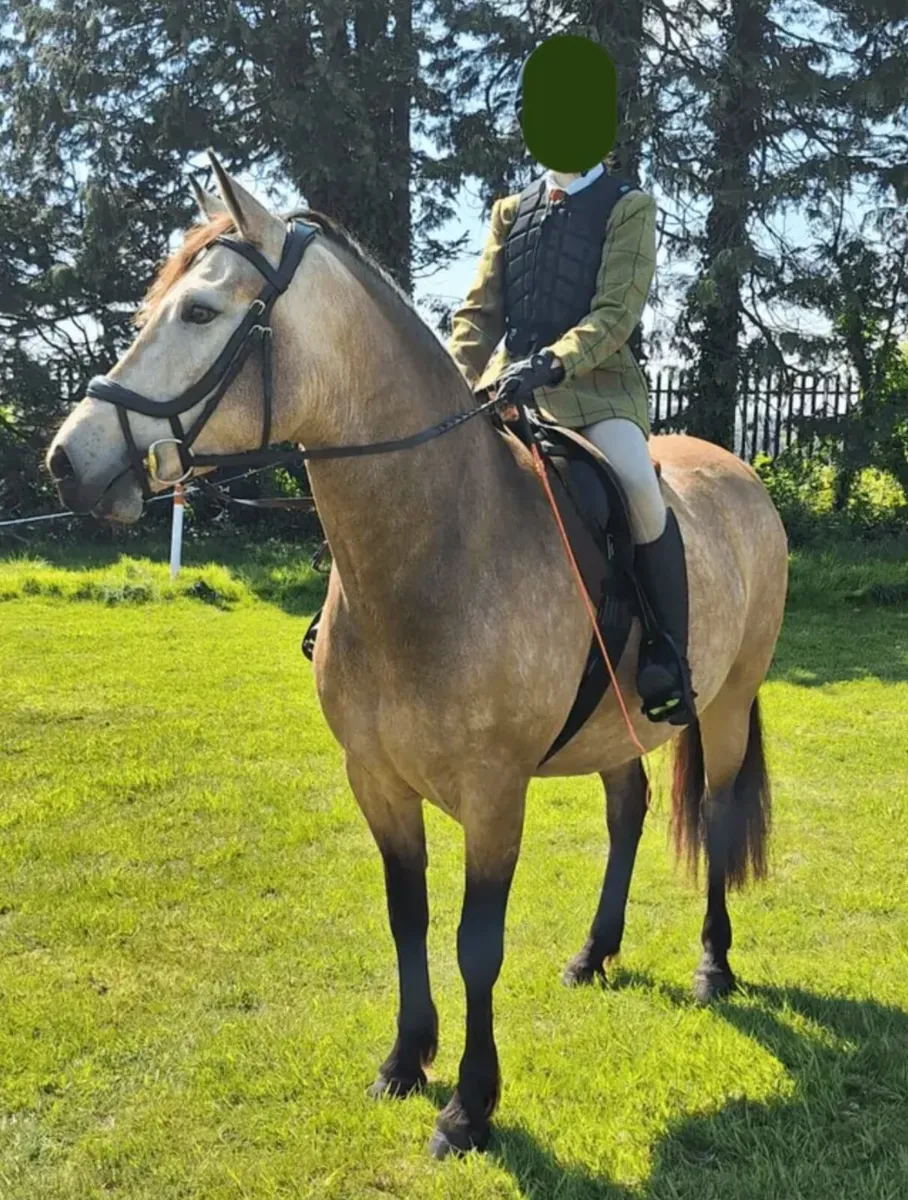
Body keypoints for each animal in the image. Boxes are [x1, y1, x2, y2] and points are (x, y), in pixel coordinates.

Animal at [46, 150, 788, 1159]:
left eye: (199, 312)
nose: (66, 461)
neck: (440, 546)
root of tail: (740, 471)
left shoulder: (494, 794)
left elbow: (478, 943)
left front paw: (470, 1106)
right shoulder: (377, 780)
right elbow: (409, 917)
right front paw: (405, 1060)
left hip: (726, 702)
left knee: (713, 816)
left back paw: (713, 966)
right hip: (616, 724)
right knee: (628, 812)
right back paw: (595, 953)